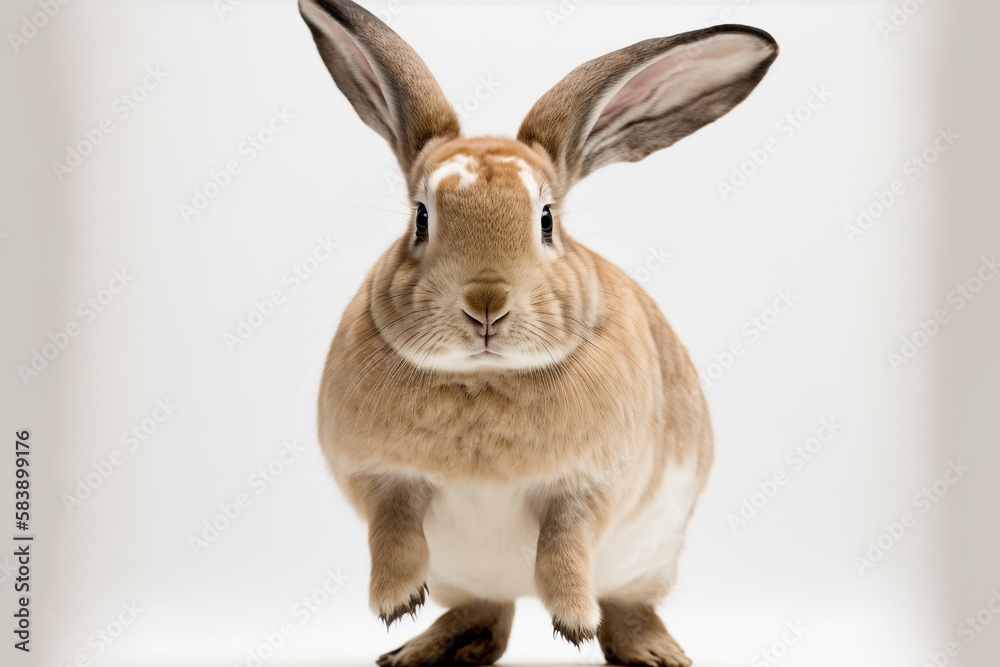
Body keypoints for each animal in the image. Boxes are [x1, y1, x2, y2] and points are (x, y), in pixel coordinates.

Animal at [299, 1, 777, 665]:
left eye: (546, 221)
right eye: (420, 218)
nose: (486, 305)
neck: (483, 381)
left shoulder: (588, 487)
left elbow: (563, 548)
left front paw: (574, 623)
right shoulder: (381, 477)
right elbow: (393, 534)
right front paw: (395, 604)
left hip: (650, 560)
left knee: (624, 606)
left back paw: (654, 652)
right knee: (486, 611)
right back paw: (426, 648)